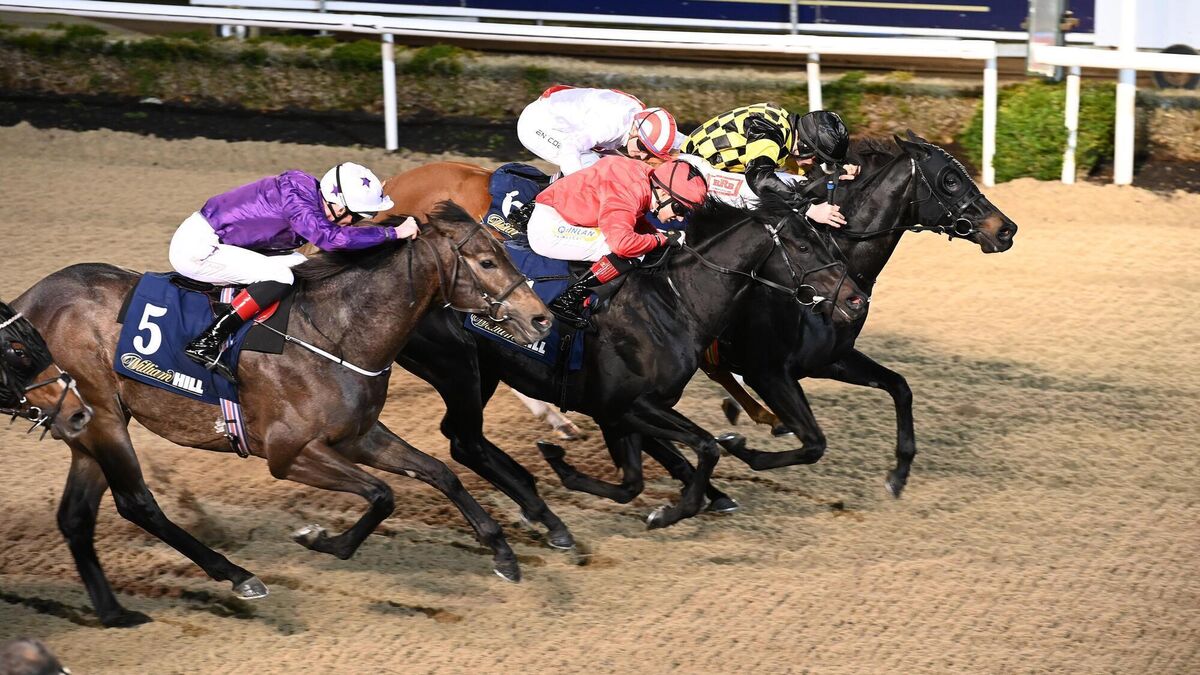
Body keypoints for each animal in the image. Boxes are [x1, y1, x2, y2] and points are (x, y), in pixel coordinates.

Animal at [10, 203, 551, 628]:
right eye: (487, 260)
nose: (541, 318)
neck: (334, 330)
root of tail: (25, 303)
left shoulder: (359, 436)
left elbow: (441, 474)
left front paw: (503, 552)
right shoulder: (288, 454)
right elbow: (383, 494)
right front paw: (321, 540)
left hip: (86, 425)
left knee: (77, 517)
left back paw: (114, 612)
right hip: (102, 415)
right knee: (136, 503)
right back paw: (238, 576)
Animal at [392, 190, 869, 550]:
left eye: (828, 242)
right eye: (804, 247)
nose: (854, 300)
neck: (674, 301)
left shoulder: (623, 412)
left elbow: (636, 481)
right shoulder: (625, 405)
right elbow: (704, 448)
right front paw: (668, 511)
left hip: (479, 374)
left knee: (463, 441)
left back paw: (537, 506)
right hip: (458, 370)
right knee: (464, 441)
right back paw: (539, 509)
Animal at [542, 131, 1019, 503]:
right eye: (950, 179)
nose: (1006, 230)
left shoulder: (829, 358)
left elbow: (900, 387)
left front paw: (898, 474)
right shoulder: (768, 369)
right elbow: (813, 443)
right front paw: (744, 448)